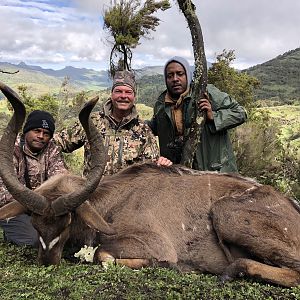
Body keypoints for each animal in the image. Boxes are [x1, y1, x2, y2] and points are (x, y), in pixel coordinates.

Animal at [0, 81, 300, 288]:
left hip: (225, 214)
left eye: (66, 222)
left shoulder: (154, 244)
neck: (111, 204)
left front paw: (170, 266)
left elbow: (102, 255)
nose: (47, 262)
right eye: (34, 222)